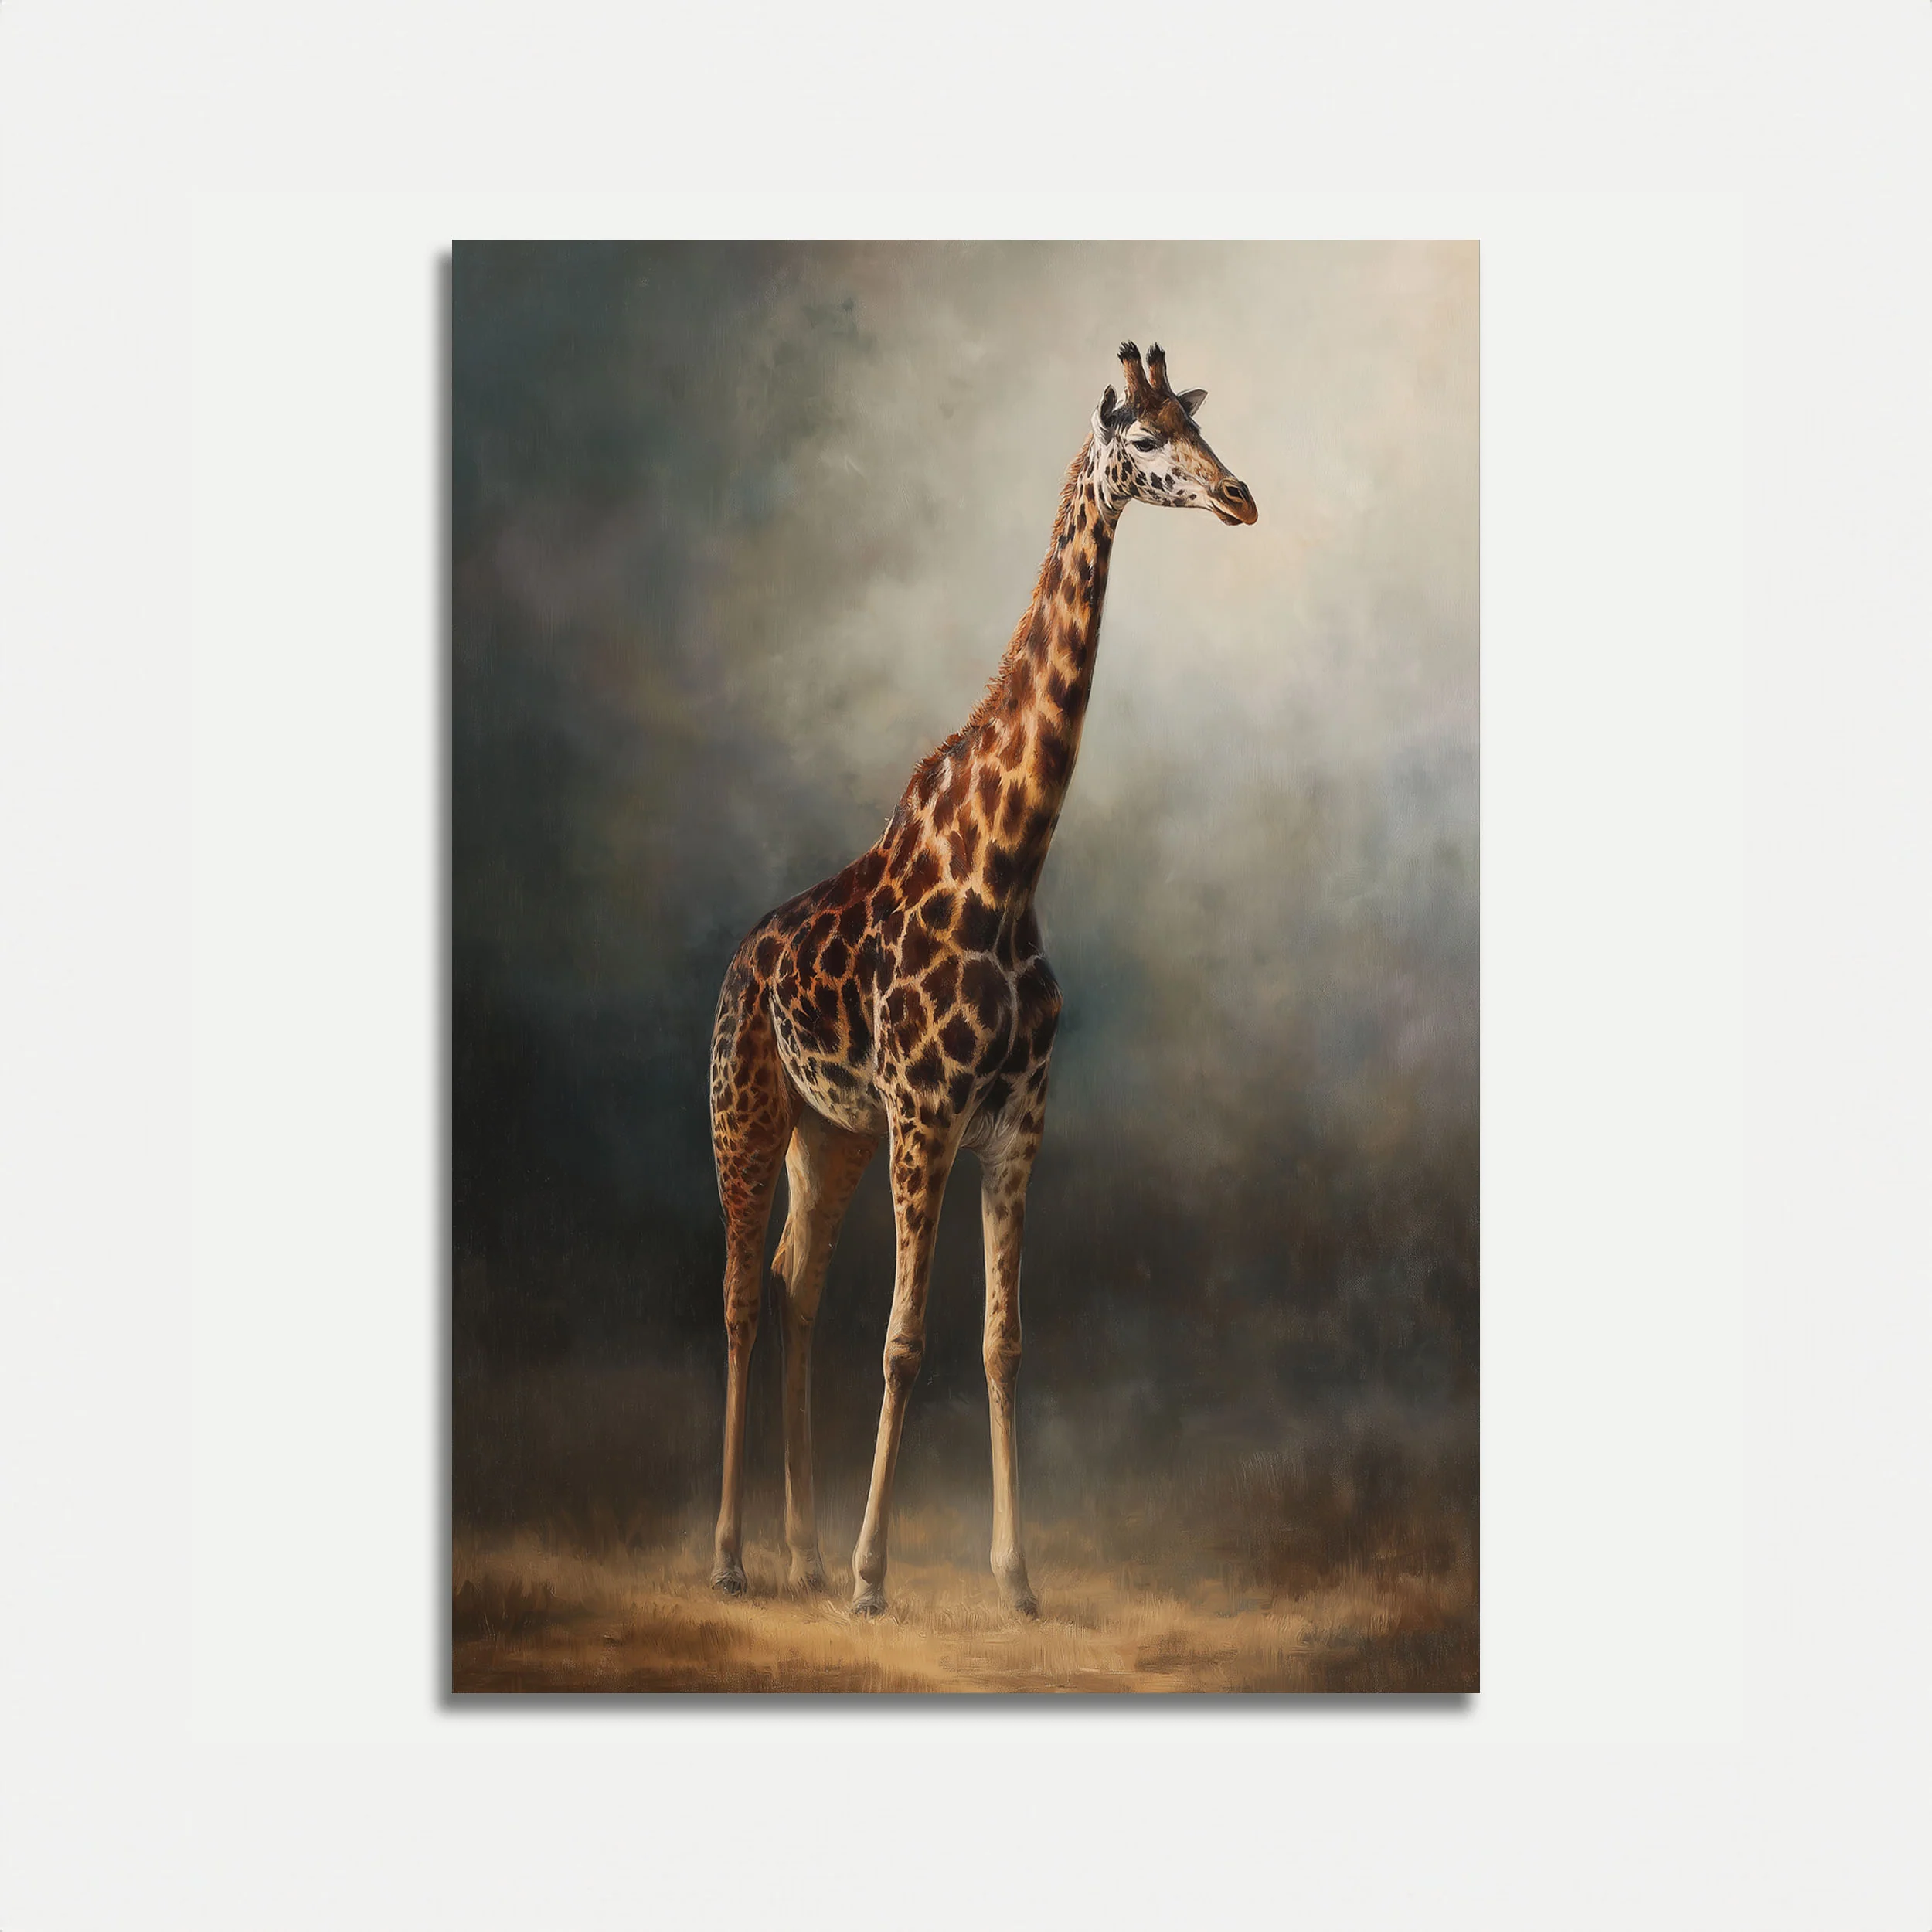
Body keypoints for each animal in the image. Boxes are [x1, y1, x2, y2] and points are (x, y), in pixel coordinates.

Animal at [707, 341, 1257, 1617]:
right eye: (1143, 438)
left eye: (1195, 422)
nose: (1240, 497)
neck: (1005, 867)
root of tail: (740, 960)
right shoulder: (927, 1112)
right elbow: (906, 1340)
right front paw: (874, 1580)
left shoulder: (1014, 1120)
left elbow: (1003, 1340)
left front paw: (1015, 1577)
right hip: (749, 1111)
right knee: (745, 1295)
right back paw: (736, 1559)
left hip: (830, 1132)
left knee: (797, 1283)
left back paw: (800, 1555)